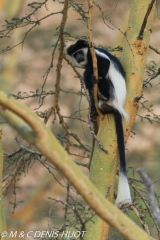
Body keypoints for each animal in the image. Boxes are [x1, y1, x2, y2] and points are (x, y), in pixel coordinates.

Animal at [66, 39, 131, 206]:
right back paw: (95, 110)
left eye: (80, 53)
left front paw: (93, 78)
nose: (79, 59)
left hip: (110, 90)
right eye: (75, 55)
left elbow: (104, 63)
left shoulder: (94, 55)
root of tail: (116, 105)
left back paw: (101, 93)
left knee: (93, 76)